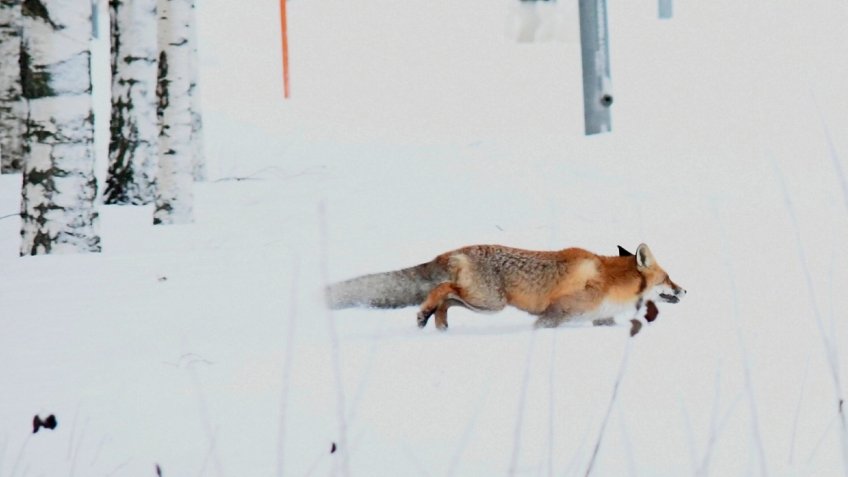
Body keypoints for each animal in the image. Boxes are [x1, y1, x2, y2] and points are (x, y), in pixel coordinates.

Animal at [326, 243, 685, 334]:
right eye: (668, 279)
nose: (685, 291)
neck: (611, 282)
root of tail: (458, 250)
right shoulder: (556, 315)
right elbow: (542, 327)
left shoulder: (600, 320)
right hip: (490, 302)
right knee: (442, 288)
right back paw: (426, 314)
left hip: (481, 303)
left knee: (447, 299)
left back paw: (440, 326)